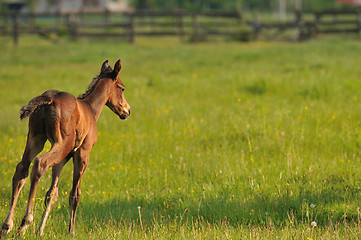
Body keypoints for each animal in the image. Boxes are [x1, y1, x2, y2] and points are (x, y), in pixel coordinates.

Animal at [0, 59, 129, 236]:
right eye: (122, 88)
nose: (127, 111)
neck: (90, 109)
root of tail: (49, 99)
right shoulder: (82, 153)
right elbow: (75, 194)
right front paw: (71, 231)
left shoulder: (63, 160)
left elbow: (52, 194)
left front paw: (40, 231)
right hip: (61, 144)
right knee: (40, 163)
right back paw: (25, 222)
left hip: (36, 139)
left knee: (22, 168)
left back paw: (7, 225)